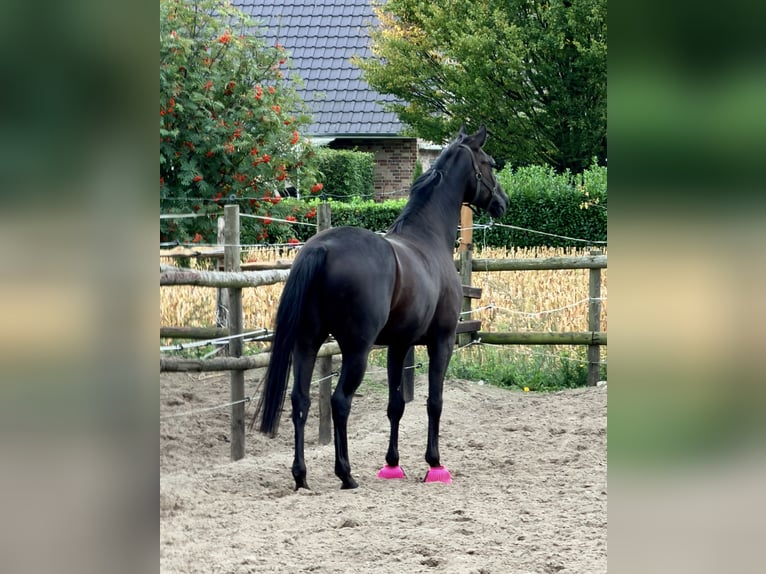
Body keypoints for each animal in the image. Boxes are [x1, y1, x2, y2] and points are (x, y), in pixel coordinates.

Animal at [255, 125, 509, 490]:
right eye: (489, 163)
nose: (503, 202)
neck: (428, 238)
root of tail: (322, 247)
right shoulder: (441, 341)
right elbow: (434, 401)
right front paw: (434, 463)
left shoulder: (398, 346)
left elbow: (396, 404)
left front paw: (392, 463)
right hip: (356, 350)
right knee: (340, 402)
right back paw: (345, 473)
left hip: (307, 343)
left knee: (300, 400)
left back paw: (301, 476)